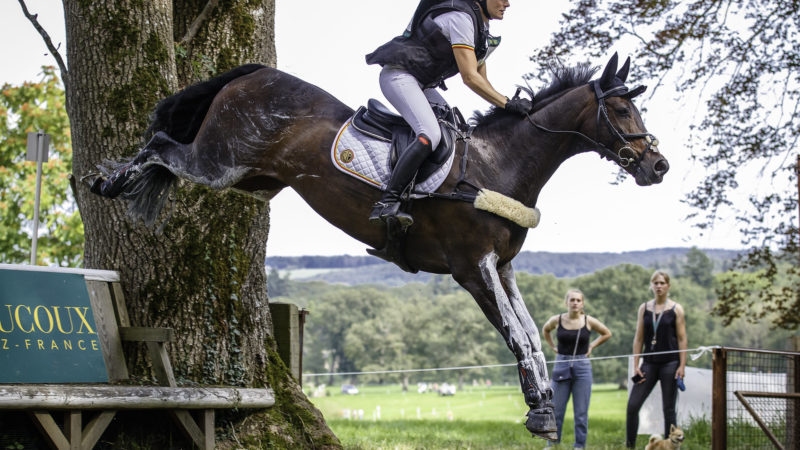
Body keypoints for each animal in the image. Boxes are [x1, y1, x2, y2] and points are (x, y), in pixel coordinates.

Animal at [90, 52, 668, 440]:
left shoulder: (502, 267)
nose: (658, 166)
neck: (496, 165)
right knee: (162, 147)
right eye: (621, 110)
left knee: (169, 154)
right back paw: (110, 181)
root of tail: (254, 72)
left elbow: (529, 334)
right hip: (220, 162)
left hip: (254, 179)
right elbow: (517, 337)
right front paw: (543, 413)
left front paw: (541, 406)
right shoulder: (472, 268)